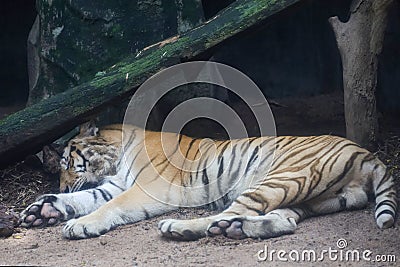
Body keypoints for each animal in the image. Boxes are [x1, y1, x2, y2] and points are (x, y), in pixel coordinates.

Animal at [19, 121, 396, 241]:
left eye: (68, 163)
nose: (62, 184)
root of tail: (367, 153)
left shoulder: (147, 188)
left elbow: (108, 207)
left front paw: (78, 225)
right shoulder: (113, 186)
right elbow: (87, 199)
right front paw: (43, 211)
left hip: (280, 177)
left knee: (226, 212)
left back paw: (178, 228)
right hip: (304, 196)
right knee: (282, 222)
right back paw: (235, 229)